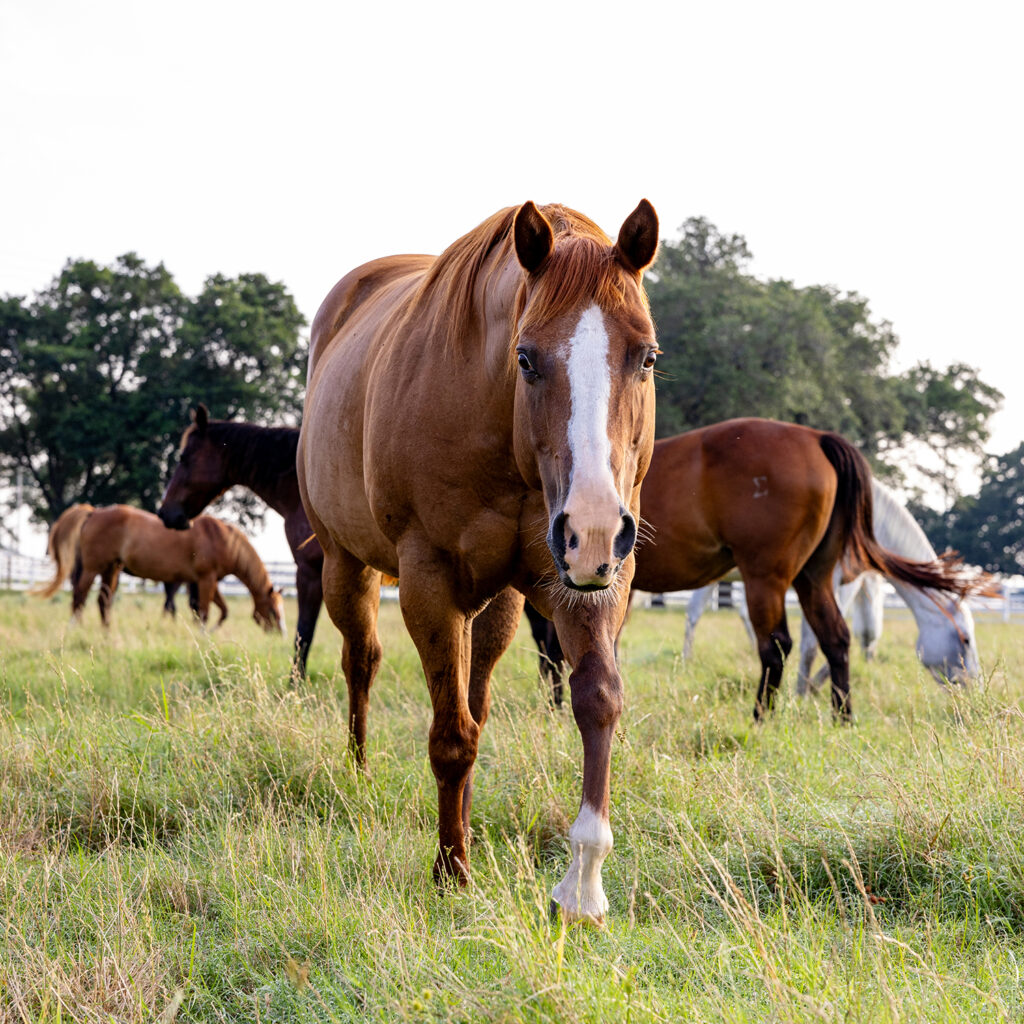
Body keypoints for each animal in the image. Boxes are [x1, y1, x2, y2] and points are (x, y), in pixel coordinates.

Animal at [34, 501, 286, 630]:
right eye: (273, 609)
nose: (280, 633)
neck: (221, 538)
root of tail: (93, 512)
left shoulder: (205, 581)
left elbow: (220, 610)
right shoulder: (206, 579)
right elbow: (204, 611)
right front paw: (204, 635)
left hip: (111, 569)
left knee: (103, 601)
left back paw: (107, 632)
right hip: (92, 568)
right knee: (79, 597)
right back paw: (76, 628)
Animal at [299, 195, 659, 925]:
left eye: (647, 357)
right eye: (526, 357)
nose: (594, 526)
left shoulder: (588, 580)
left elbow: (597, 699)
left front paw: (583, 884)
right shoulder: (429, 581)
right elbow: (450, 737)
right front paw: (450, 871)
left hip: (502, 601)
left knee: (475, 691)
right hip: (346, 566)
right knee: (362, 663)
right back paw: (359, 773)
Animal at [684, 479, 978, 688]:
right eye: (965, 639)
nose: (974, 685)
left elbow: (865, 630)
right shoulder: (834, 580)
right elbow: (815, 642)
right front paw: (803, 692)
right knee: (694, 615)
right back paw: (687, 661)